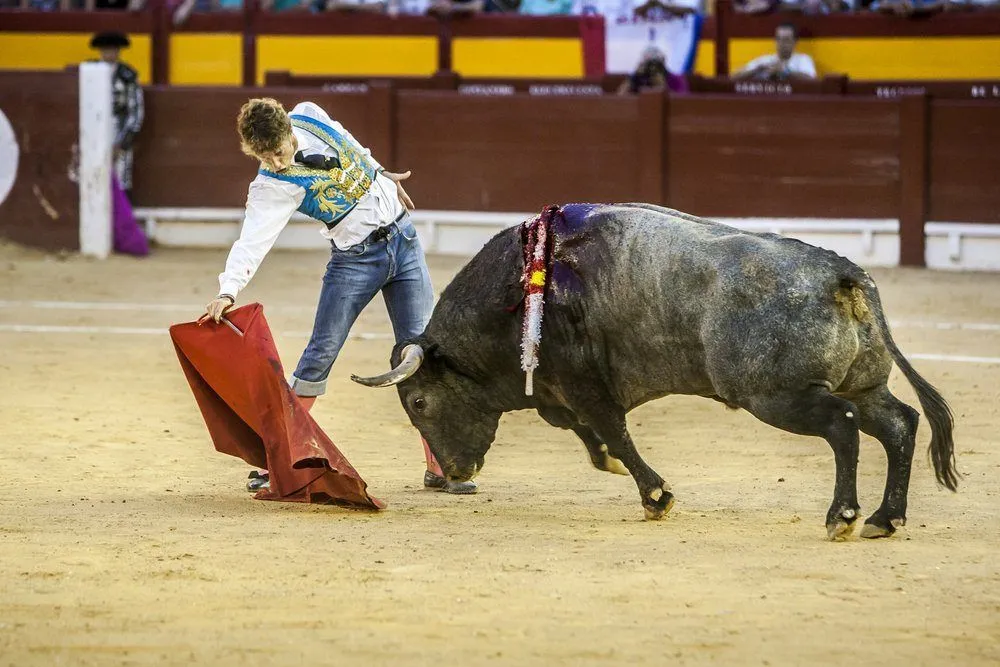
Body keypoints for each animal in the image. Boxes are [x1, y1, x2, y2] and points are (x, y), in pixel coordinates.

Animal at [351, 203, 959, 540]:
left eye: (419, 403)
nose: (455, 473)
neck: (519, 291)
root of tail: (842, 274)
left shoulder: (582, 384)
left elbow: (613, 431)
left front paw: (655, 495)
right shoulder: (558, 392)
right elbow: (582, 429)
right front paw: (608, 463)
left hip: (779, 396)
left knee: (843, 425)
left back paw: (844, 515)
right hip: (865, 383)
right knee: (899, 424)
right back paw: (885, 518)